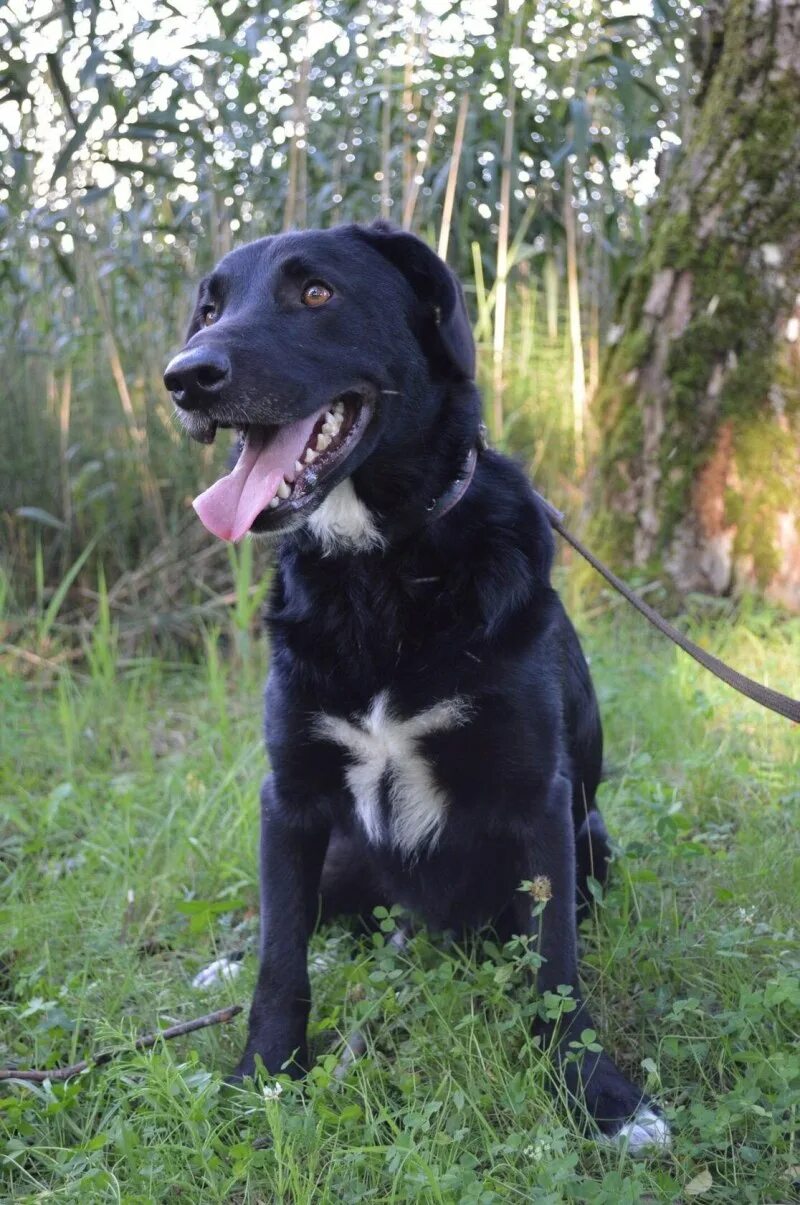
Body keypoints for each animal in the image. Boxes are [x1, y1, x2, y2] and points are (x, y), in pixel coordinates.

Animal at [162, 221, 669, 1151]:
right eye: (209, 308)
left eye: (316, 293)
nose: (185, 376)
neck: (381, 569)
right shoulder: (288, 798)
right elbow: (280, 959)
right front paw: (263, 1078)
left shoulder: (537, 800)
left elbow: (555, 968)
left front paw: (600, 1098)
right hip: (342, 851)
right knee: (308, 920)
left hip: (593, 839)